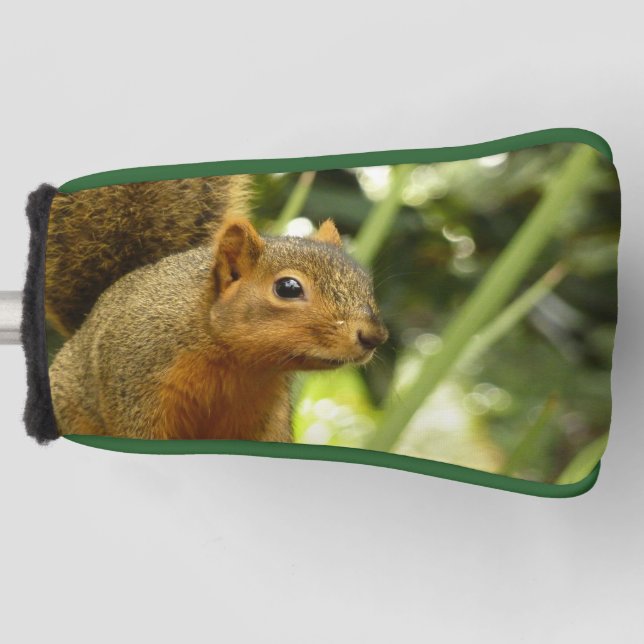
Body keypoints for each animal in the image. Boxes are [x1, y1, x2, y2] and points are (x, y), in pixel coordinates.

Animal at [46, 175, 388, 442]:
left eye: (364, 281)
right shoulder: (137, 386)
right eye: (288, 288)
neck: (236, 364)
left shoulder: (266, 420)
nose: (374, 336)